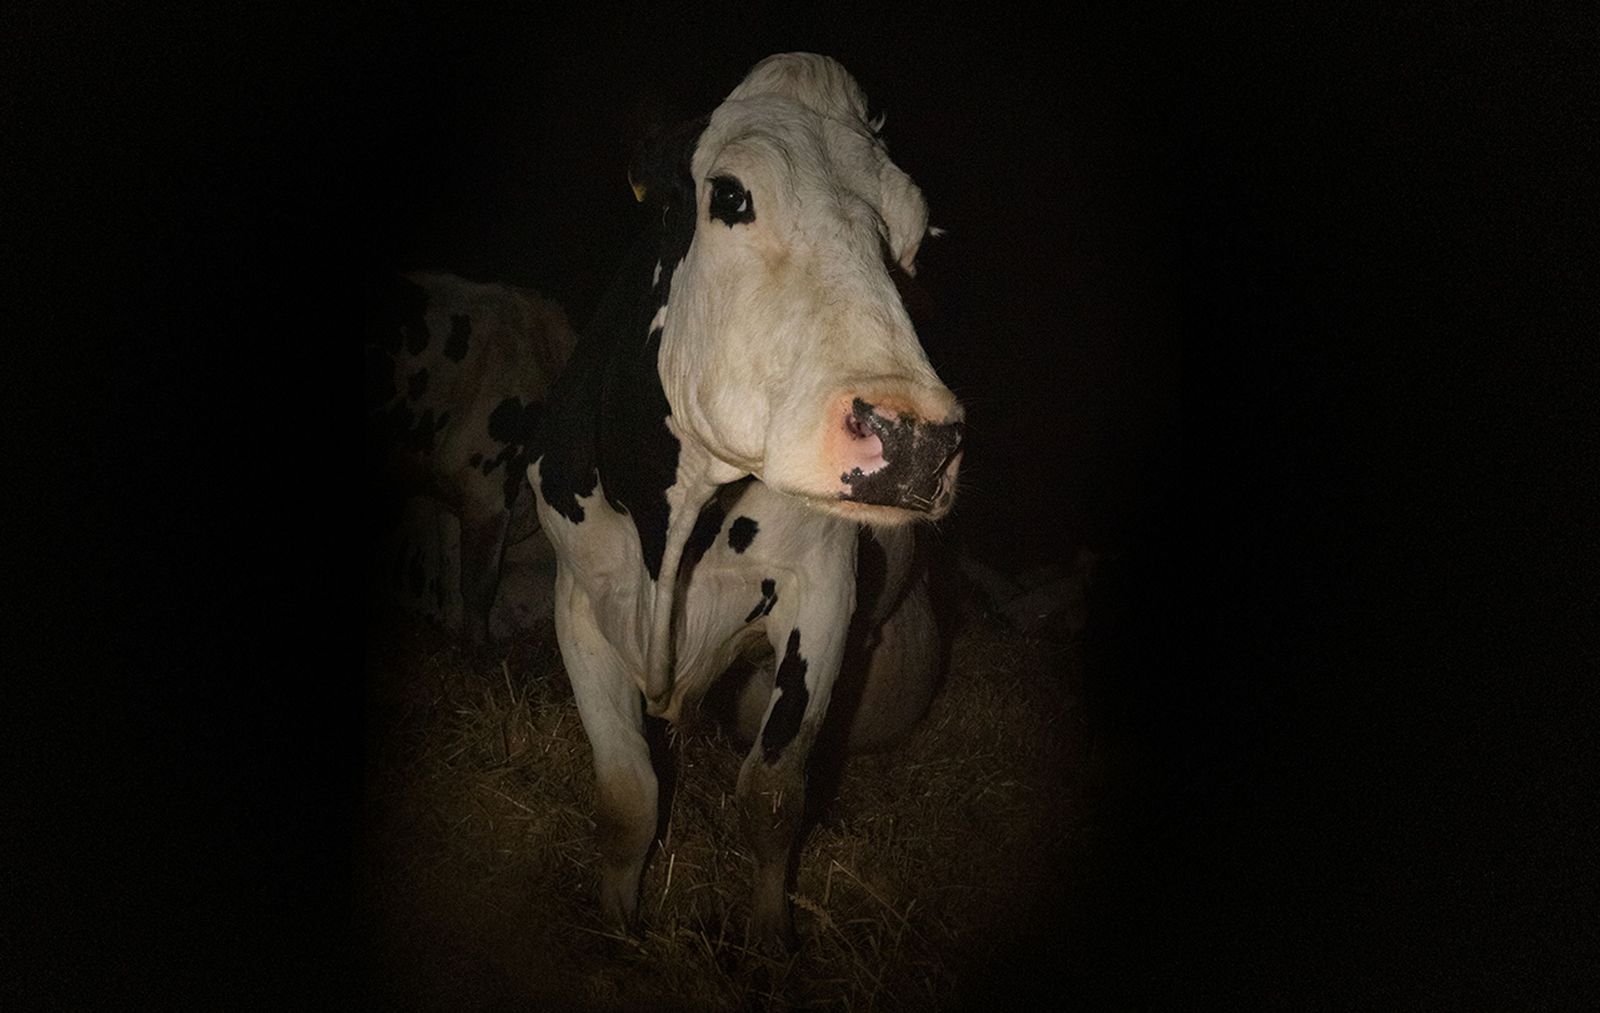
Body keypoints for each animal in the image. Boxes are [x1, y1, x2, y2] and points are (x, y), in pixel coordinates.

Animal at [528, 53, 964, 950]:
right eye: (730, 194)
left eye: (914, 236)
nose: (917, 438)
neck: (671, 531)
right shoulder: (577, 596)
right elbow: (627, 796)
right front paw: (618, 926)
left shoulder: (821, 591)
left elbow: (770, 794)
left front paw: (768, 944)